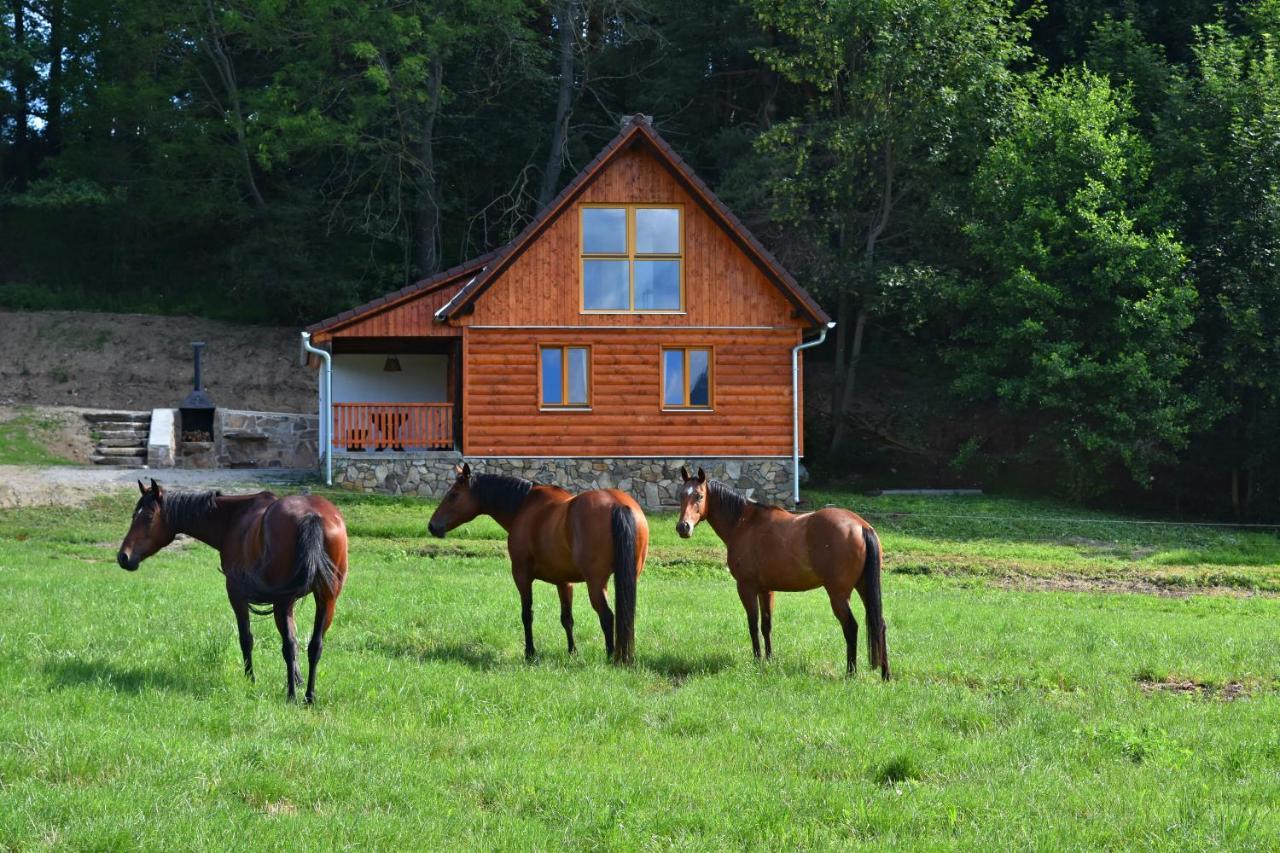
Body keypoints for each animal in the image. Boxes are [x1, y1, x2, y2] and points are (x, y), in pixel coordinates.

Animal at [118, 479, 348, 696]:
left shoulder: (238, 595)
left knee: (289, 646)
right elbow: (295, 638)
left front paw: (251, 680)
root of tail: (312, 516)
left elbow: (247, 638)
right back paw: (309, 696)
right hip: (325, 600)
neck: (233, 518)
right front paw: (297, 680)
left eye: (148, 517)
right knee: (315, 646)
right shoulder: (289, 603)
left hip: (284, 602)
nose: (123, 557)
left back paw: (291, 697)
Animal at [430, 461, 650, 660]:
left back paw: (612, 657)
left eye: (453, 495)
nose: (432, 526)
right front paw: (572, 652)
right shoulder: (564, 582)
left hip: (595, 582)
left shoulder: (521, 575)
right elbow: (567, 619)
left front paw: (530, 653)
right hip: (629, 578)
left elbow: (527, 614)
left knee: (607, 616)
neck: (524, 506)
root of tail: (618, 504)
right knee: (625, 617)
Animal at [670, 466, 890, 676]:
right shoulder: (765, 590)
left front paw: (757, 660)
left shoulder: (746, 587)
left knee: (851, 627)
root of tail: (861, 526)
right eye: (681, 495)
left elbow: (753, 624)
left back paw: (850, 672)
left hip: (838, 594)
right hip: (864, 588)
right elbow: (766, 625)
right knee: (879, 624)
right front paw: (769, 659)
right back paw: (885, 674)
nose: (683, 527)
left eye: (699, 496)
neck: (744, 523)